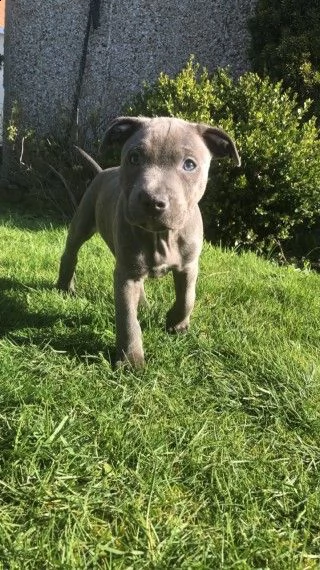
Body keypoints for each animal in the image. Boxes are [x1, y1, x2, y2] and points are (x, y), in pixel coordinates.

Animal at [57, 116, 240, 366]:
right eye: (134, 158)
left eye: (189, 165)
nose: (152, 201)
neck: (161, 235)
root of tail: (104, 170)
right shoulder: (125, 275)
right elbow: (127, 319)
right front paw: (131, 360)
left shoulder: (189, 265)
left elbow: (188, 298)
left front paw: (176, 324)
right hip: (83, 221)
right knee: (71, 252)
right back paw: (64, 286)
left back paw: (143, 305)